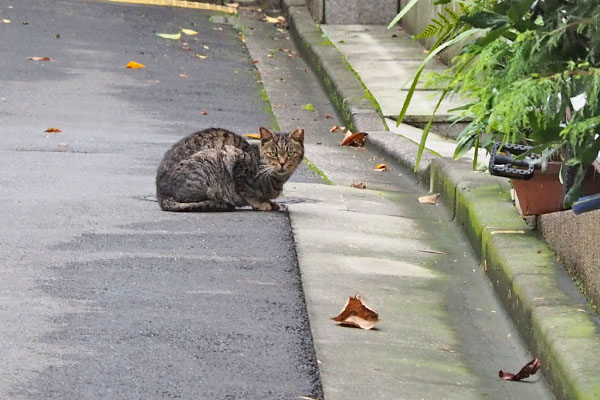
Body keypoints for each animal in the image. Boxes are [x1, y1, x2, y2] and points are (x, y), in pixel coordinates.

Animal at [156, 127, 304, 212]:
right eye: (273, 154)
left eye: (291, 153)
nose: (282, 163)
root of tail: (161, 195)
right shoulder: (236, 159)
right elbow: (247, 192)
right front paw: (261, 204)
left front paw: (270, 202)